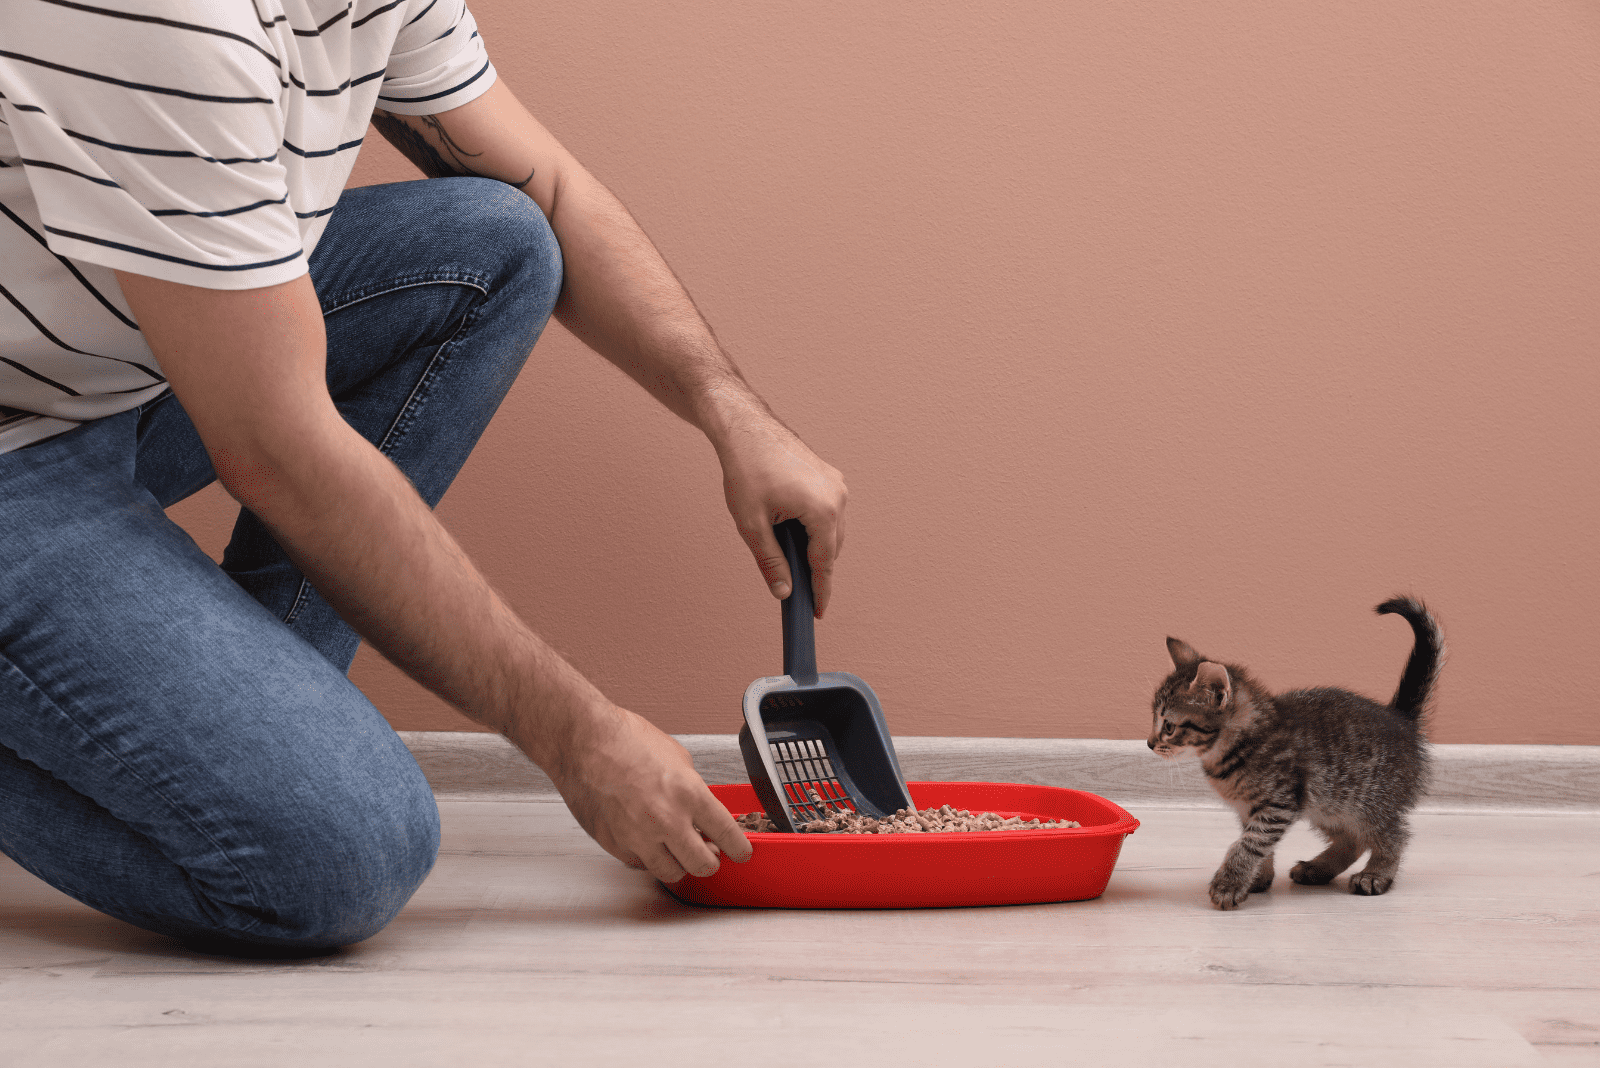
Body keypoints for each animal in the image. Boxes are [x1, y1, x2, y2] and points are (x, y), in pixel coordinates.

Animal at [1152, 597, 1440, 908]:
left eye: (1168, 726)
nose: (1149, 743)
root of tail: (1400, 718)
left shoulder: (1278, 804)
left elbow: (1248, 844)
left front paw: (1230, 883)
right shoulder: (1251, 809)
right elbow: (1255, 843)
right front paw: (1257, 878)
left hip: (1367, 802)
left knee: (1394, 835)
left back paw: (1376, 873)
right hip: (1328, 806)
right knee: (1353, 840)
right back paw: (1318, 868)